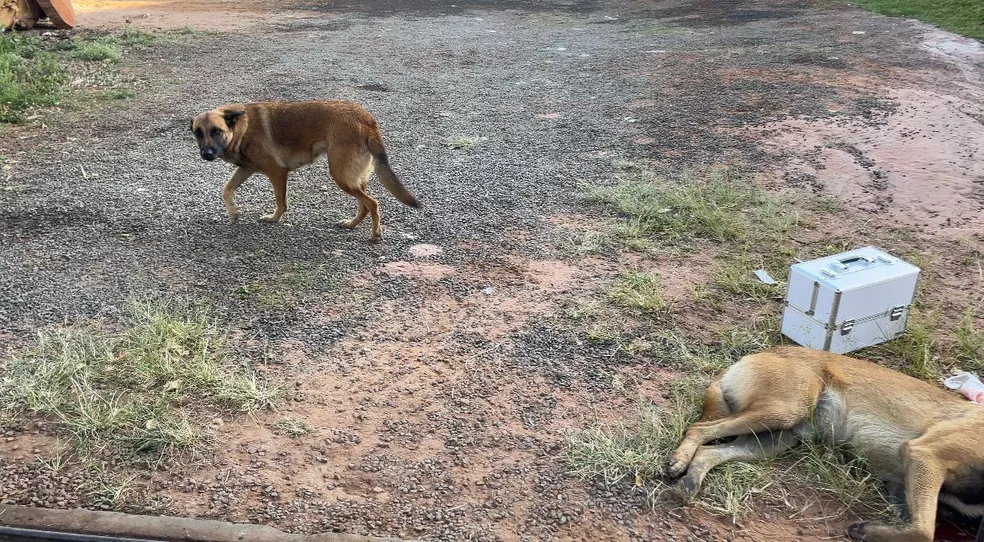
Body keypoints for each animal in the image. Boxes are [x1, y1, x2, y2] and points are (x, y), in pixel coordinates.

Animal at [191, 100, 418, 244]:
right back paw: (351, 224)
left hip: (340, 175)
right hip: (352, 177)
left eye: (216, 131)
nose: (206, 154)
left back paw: (376, 234)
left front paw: (273, 219)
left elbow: (281, 202)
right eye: (198, 133)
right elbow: (226, 189)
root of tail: (366, 118)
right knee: (364, 205)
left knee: (373, 203)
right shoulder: (245, 169)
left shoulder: (277, 173)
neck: (242, 128)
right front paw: (233, 212)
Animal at [668, 348, 984, 542]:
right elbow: (924, 531)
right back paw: (679, 461)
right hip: (783, 411)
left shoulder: (900, 482)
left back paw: (691, 482)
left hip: (774, 439)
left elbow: (917, 525)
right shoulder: (924, 456)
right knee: (700, 429)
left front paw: (874, 529)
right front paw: (866, 530)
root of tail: (766, 351)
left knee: (710, 451)